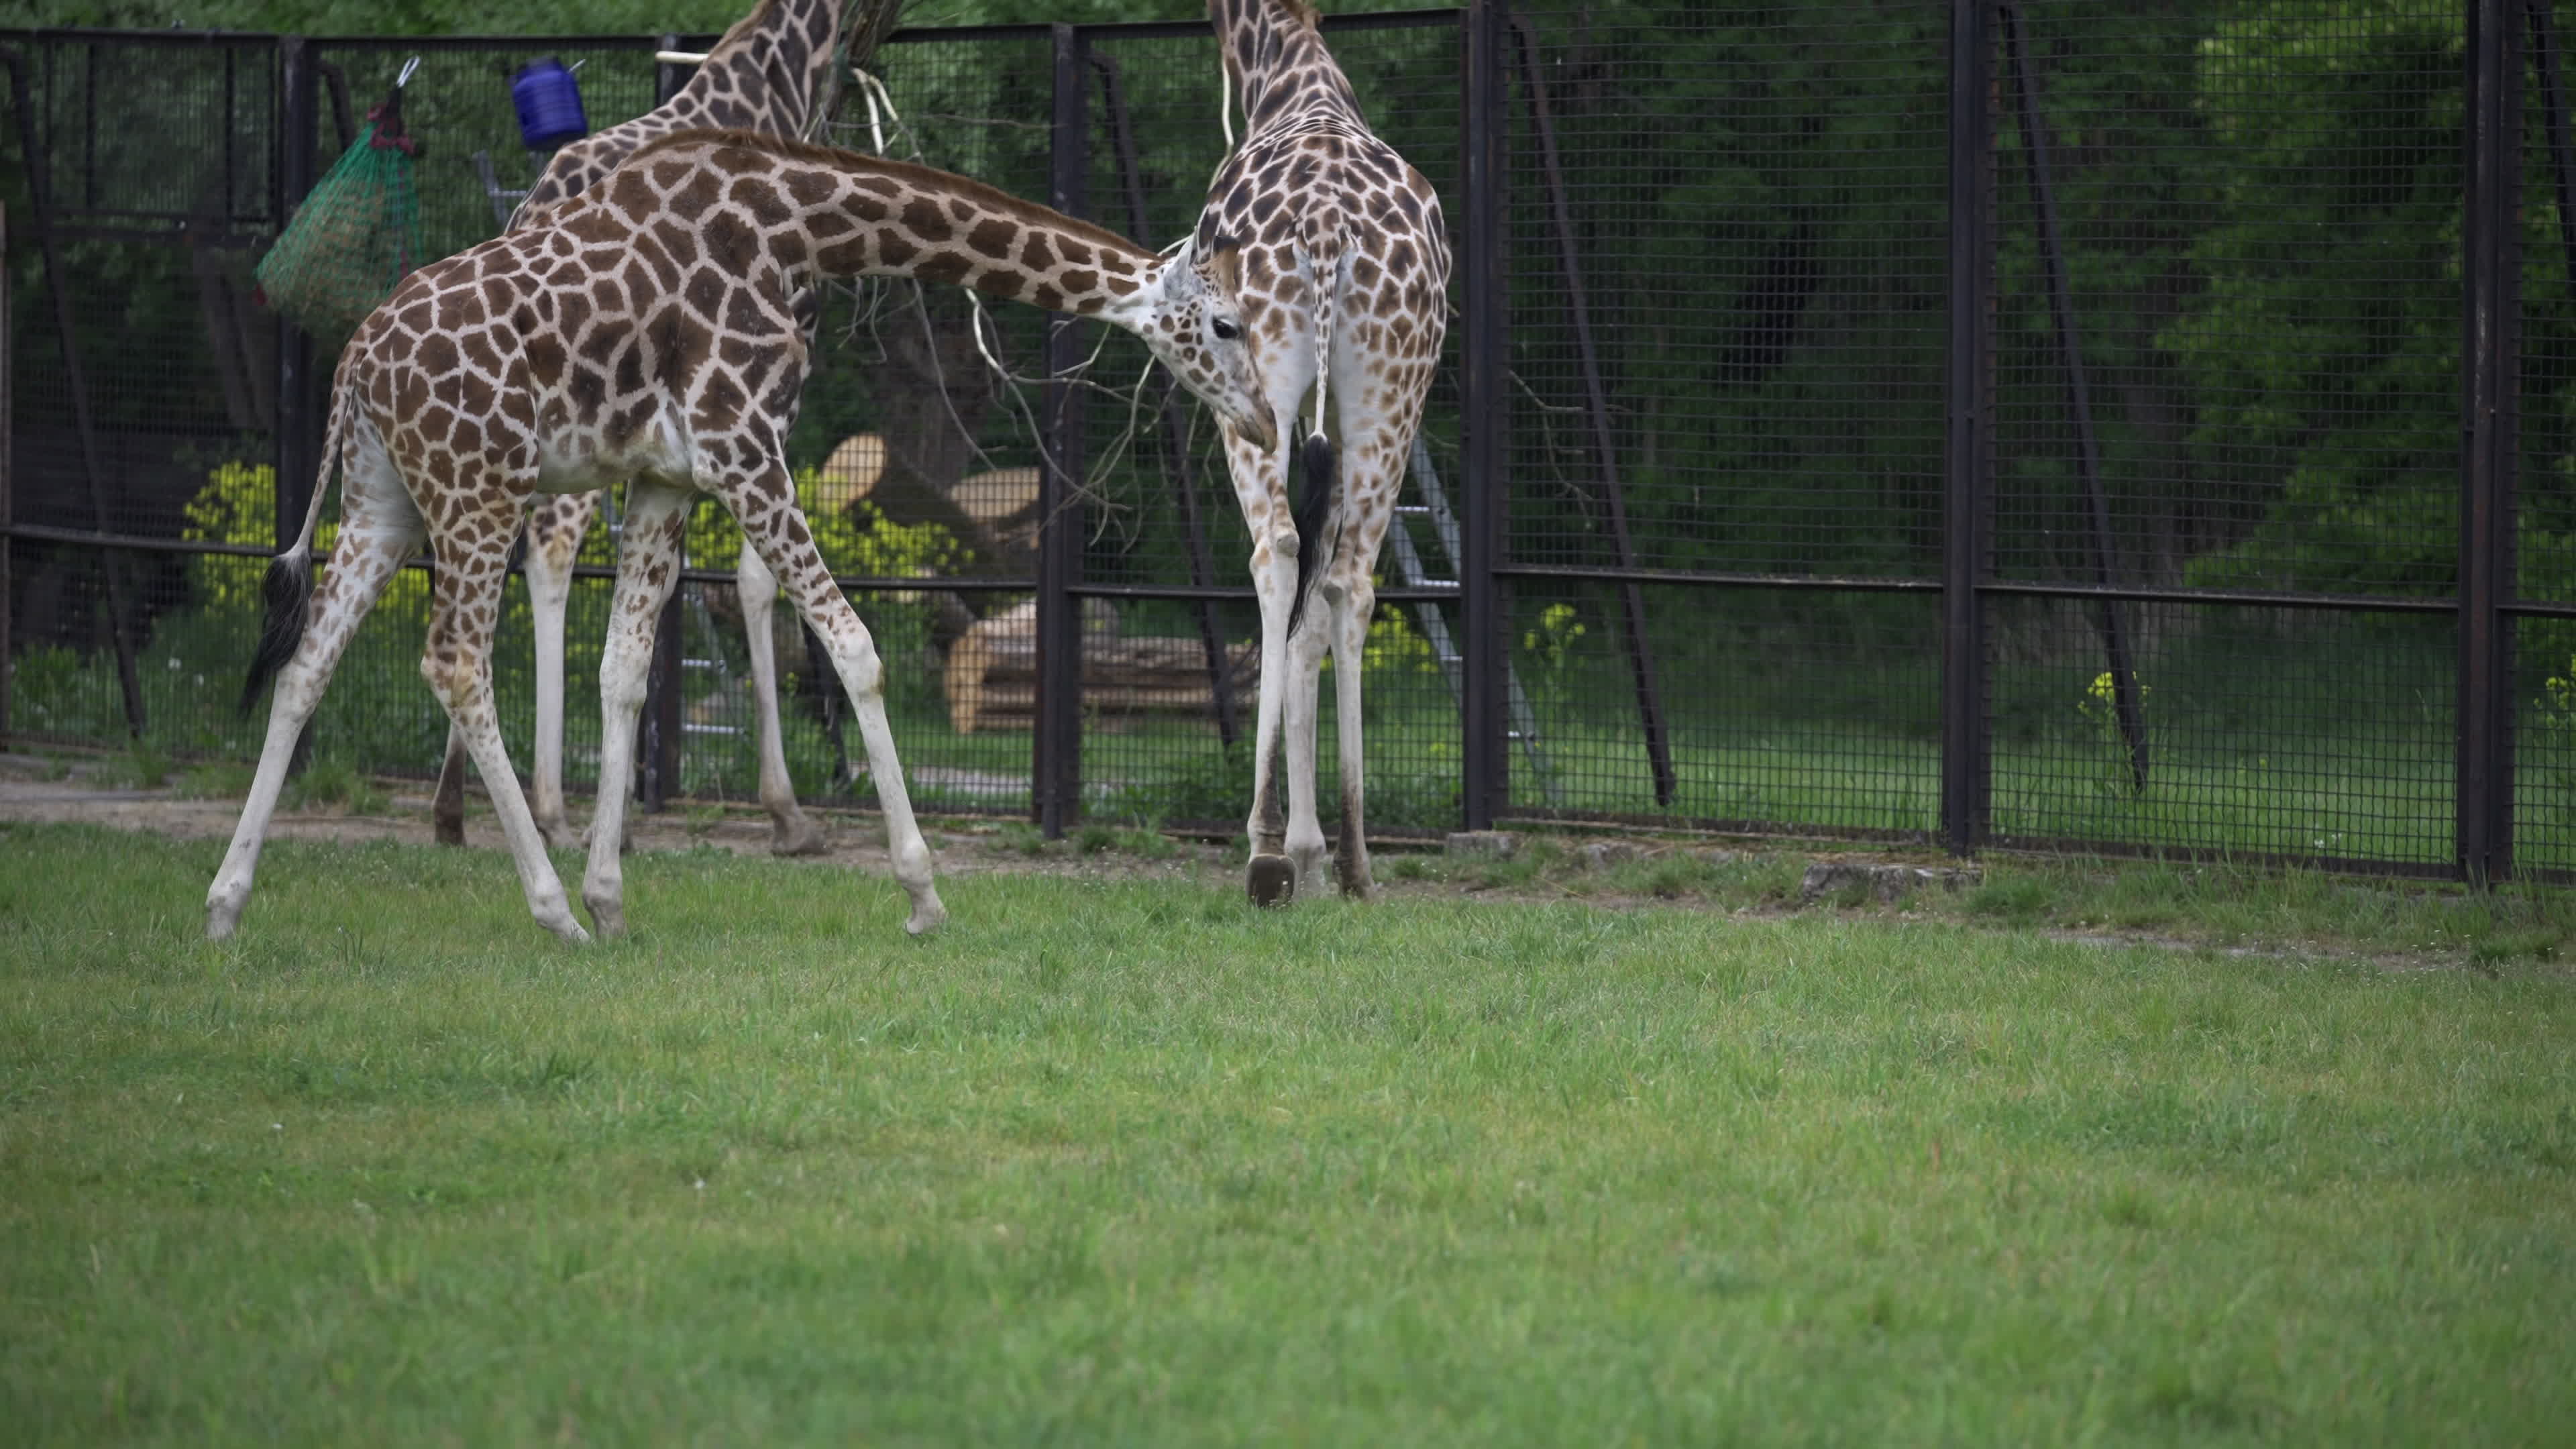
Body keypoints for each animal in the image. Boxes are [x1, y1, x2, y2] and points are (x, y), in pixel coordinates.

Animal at [208, 130, 1275, 944]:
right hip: (478, 489)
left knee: (307, 664)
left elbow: (626, 673)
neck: (800, 228)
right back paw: (549, 912)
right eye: (1226, 324)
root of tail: (354, 365)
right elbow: (856, 648)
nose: (1267, 422)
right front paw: (922, 893)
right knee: (456, 662)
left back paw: (226, 904)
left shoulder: (665, 479)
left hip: (383, 500)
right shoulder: (745, 450)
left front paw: (613, 900)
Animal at [431, 0, 875, 857]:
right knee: (551, 549)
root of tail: (533, 204)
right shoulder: (766, 393)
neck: (775, 91)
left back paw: (454, 809)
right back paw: (549, 809)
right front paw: (787, 813)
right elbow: (753, 578)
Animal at [1195, 0, 1450, 905]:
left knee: (1276, 553)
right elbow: (1319, 610)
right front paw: (1316, 852)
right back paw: (1356, 861)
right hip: (1394, 392)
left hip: (1257, 386)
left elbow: (1289, 589)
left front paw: (1291, 848)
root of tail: (1328, 227)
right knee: (1350, 583)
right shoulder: (1338, 426)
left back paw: (1268, 849)